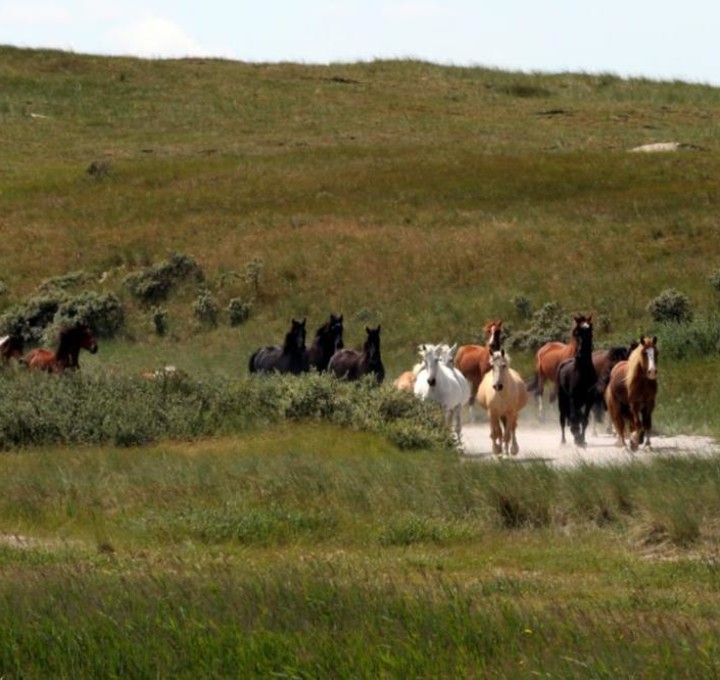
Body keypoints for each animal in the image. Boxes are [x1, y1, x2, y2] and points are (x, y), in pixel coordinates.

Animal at [556, 314, 596, 446]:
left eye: (590, 331)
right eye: (577, 332)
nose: (579, 354)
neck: (583, 373)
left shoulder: (589, 400)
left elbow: (584, 419)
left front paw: (582, 439)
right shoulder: (573, 398)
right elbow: (574, 417)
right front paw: (577, 437)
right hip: (562, 399)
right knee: (563, 419)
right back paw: (563, 440)